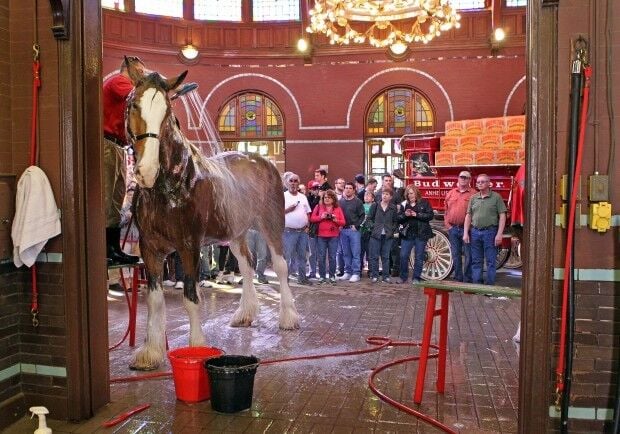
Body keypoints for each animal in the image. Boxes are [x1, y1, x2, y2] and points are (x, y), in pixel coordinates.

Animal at [124, 62, 300, 372]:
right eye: (134, 104)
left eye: (167, 112)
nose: (146, 170)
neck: (171, 185)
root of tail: (262, 160)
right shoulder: (150, 248)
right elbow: (155, 300)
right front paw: (151, 352)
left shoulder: (189, 246)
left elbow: (191, 297)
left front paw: (197, 348)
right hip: (236, 233)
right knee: (246, 265)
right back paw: (245, 313)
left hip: (271, 224)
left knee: (280, 266)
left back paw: (288, 317)